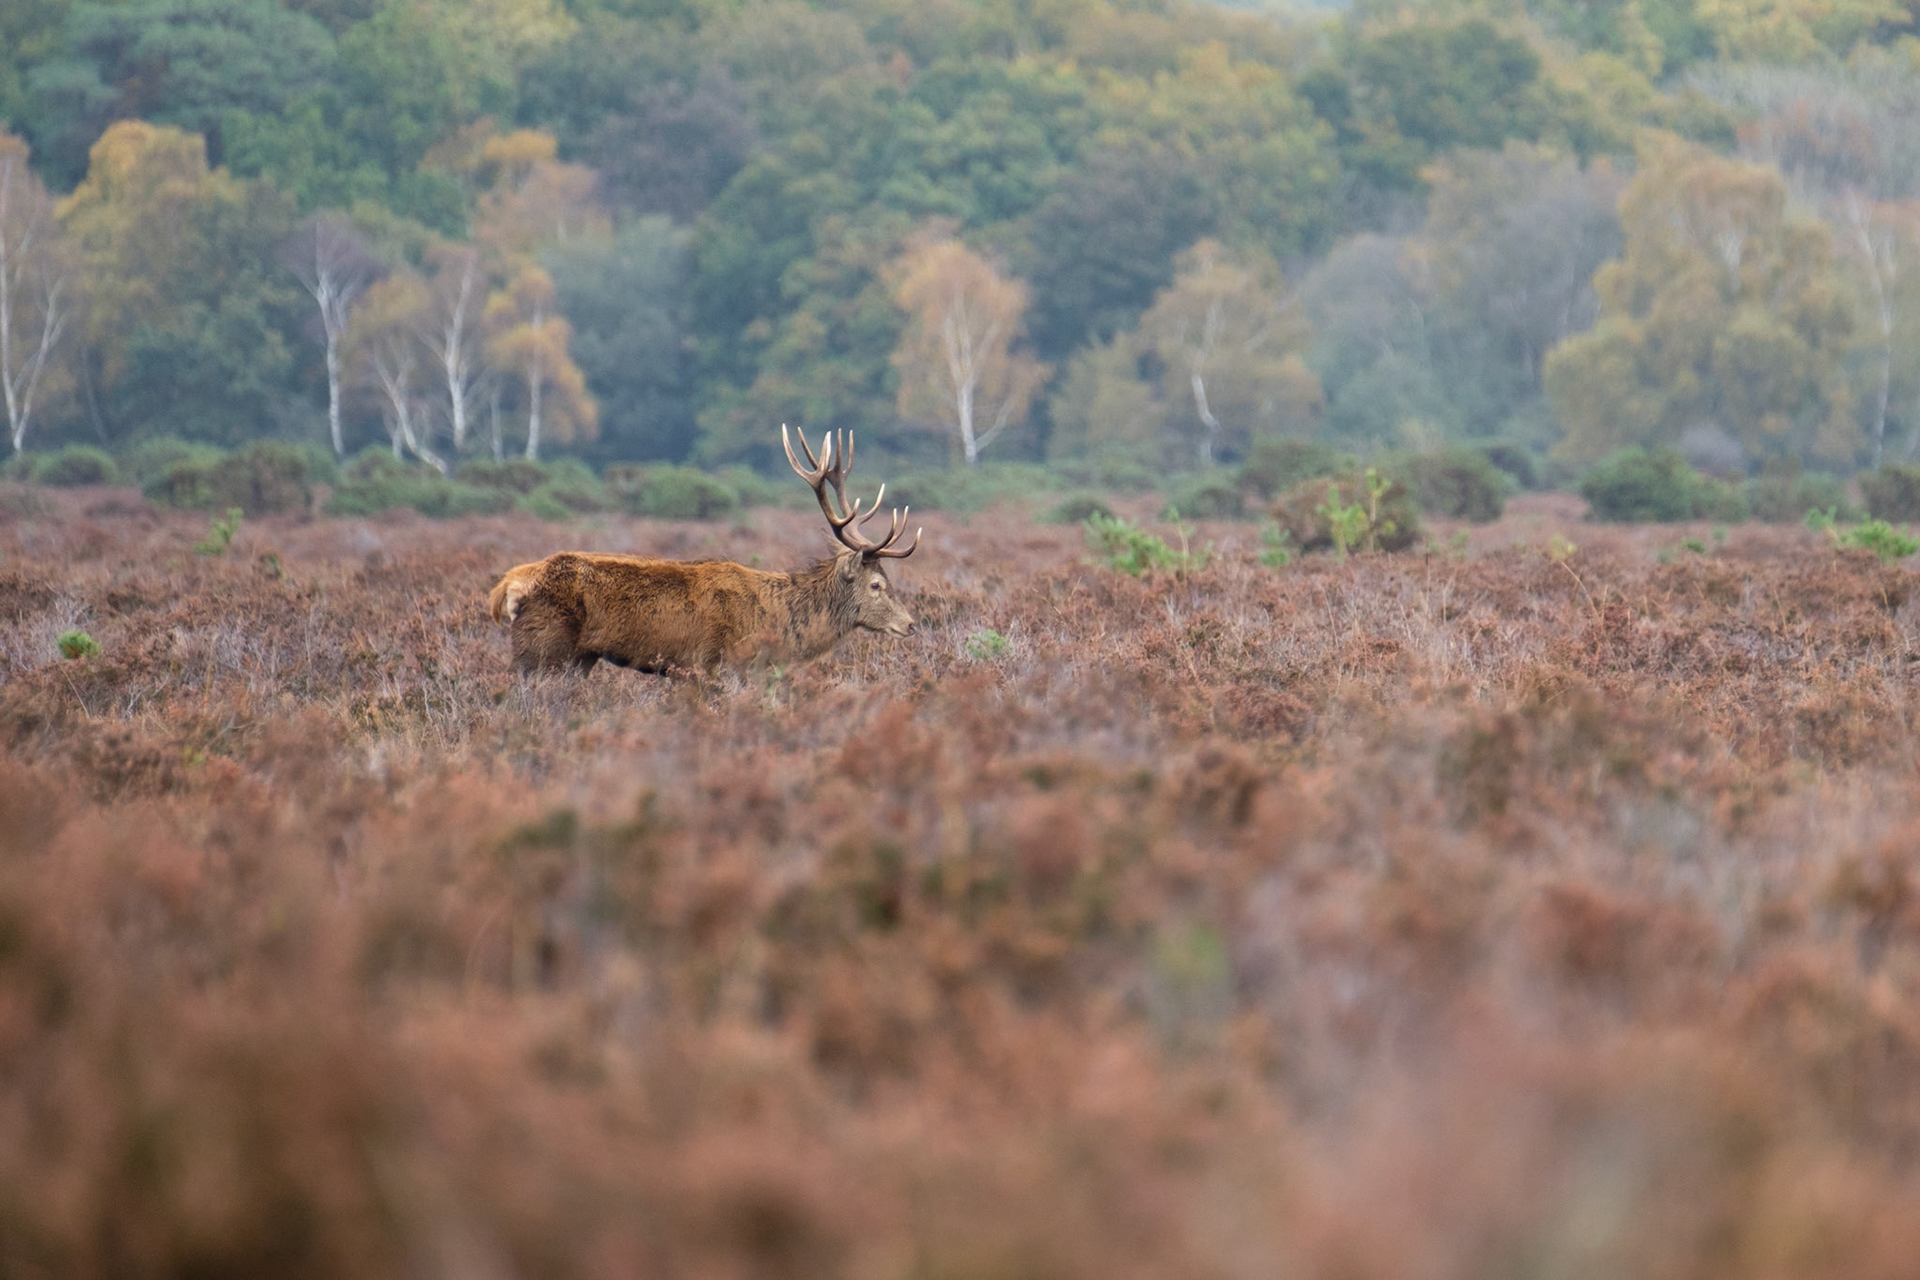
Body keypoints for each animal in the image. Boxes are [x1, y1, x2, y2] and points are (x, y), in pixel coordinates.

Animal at [487, 426, 921, 675]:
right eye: (877, 585)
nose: (912, 624)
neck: (776, 624)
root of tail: (507, 585)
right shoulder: (719, 663)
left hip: (580, 658)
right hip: (540, 649)